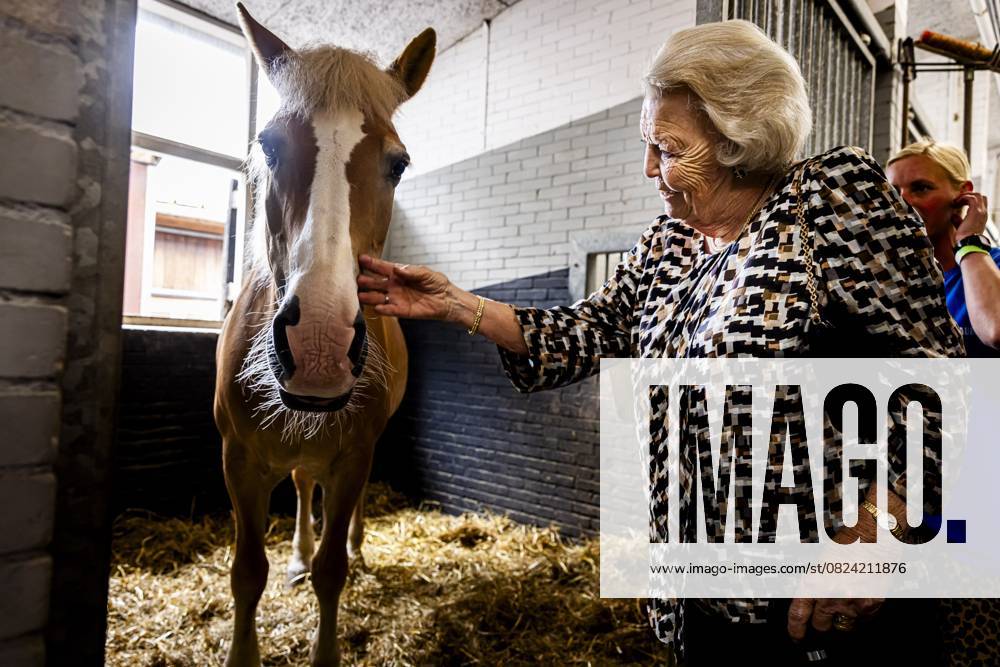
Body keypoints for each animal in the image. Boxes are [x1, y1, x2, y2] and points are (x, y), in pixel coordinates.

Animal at [213, 5, 434, 665]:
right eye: (268, 144)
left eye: (398, 164)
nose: (319, 346)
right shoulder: (239, 461)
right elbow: (247, 573)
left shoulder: (354, 456)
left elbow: (333, 572)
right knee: (302, 485)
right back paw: (297, 557)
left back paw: (354, 550)